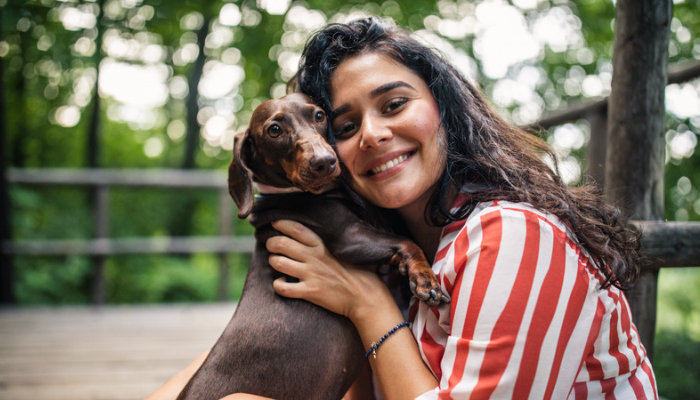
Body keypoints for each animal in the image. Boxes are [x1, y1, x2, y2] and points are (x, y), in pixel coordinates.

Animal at [178, 93, 446, 400]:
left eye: (319, 115)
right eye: (274, 130)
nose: (325, 162)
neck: (293, 195)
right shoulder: (350, 238)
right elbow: (407, 242)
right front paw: (425, 279)